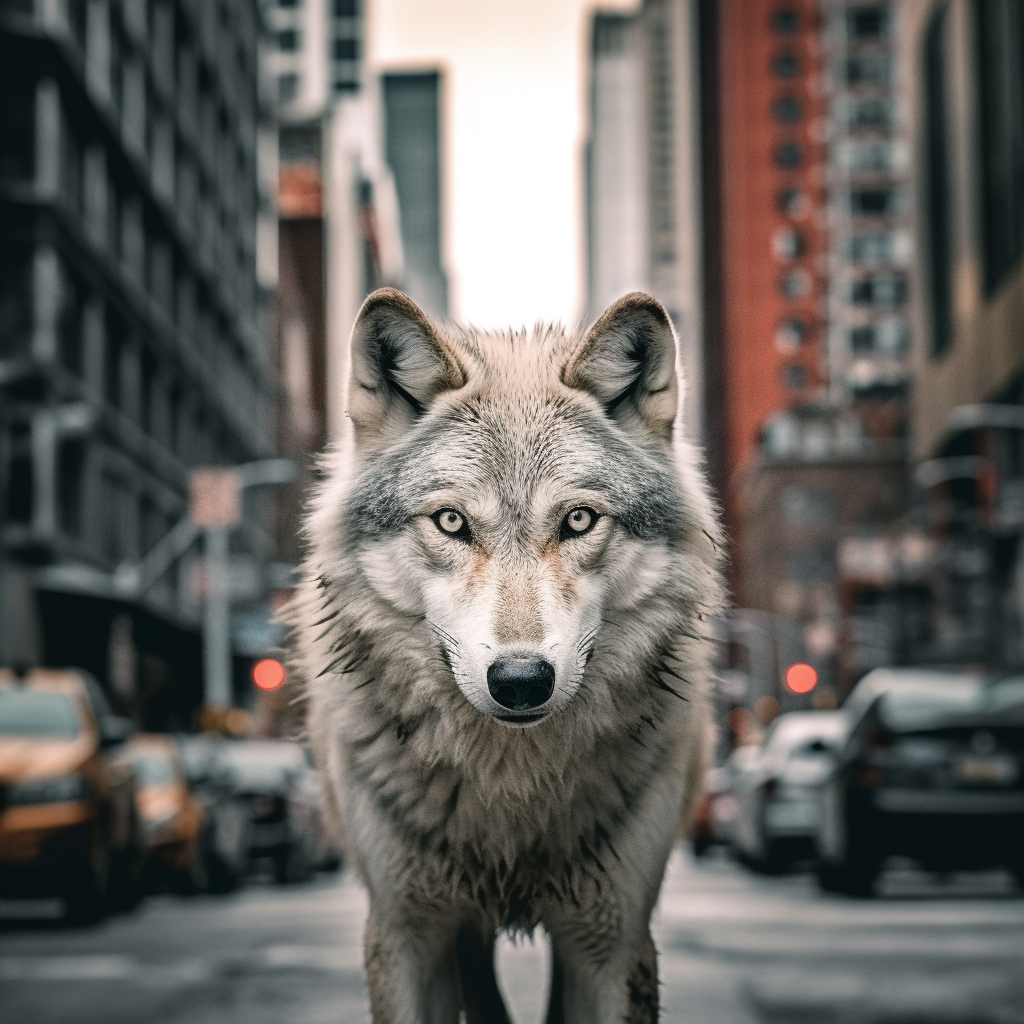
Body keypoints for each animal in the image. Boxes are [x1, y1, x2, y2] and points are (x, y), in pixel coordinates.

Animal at [289, 287, 724, 1023]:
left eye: (578, 520)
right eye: (451, 522)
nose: (521, 681)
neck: (508, 794)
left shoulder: (611, 942)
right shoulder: (406, 934)